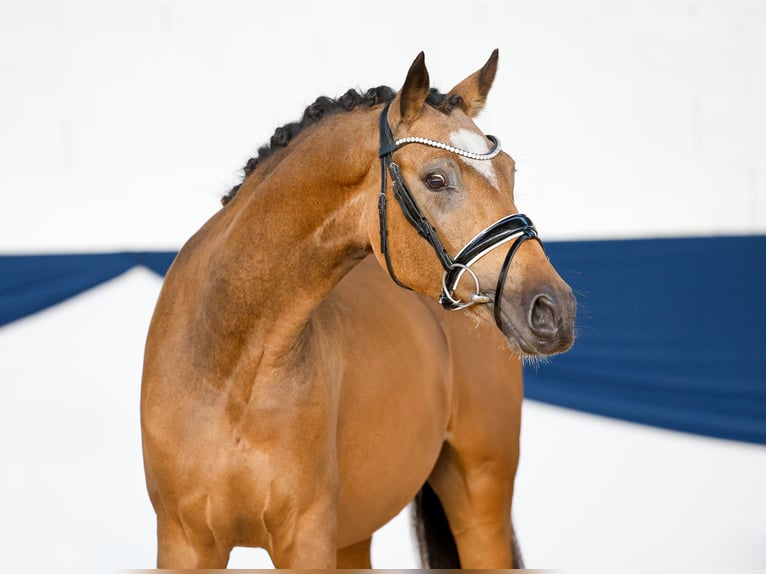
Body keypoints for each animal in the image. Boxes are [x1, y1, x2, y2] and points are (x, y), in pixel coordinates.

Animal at [142, 50, 576, 572]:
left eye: (510, 172)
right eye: (436, 179)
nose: (553, 309)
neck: (232, 367)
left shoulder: (306, 539)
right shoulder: (183, 542)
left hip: (481, 492)